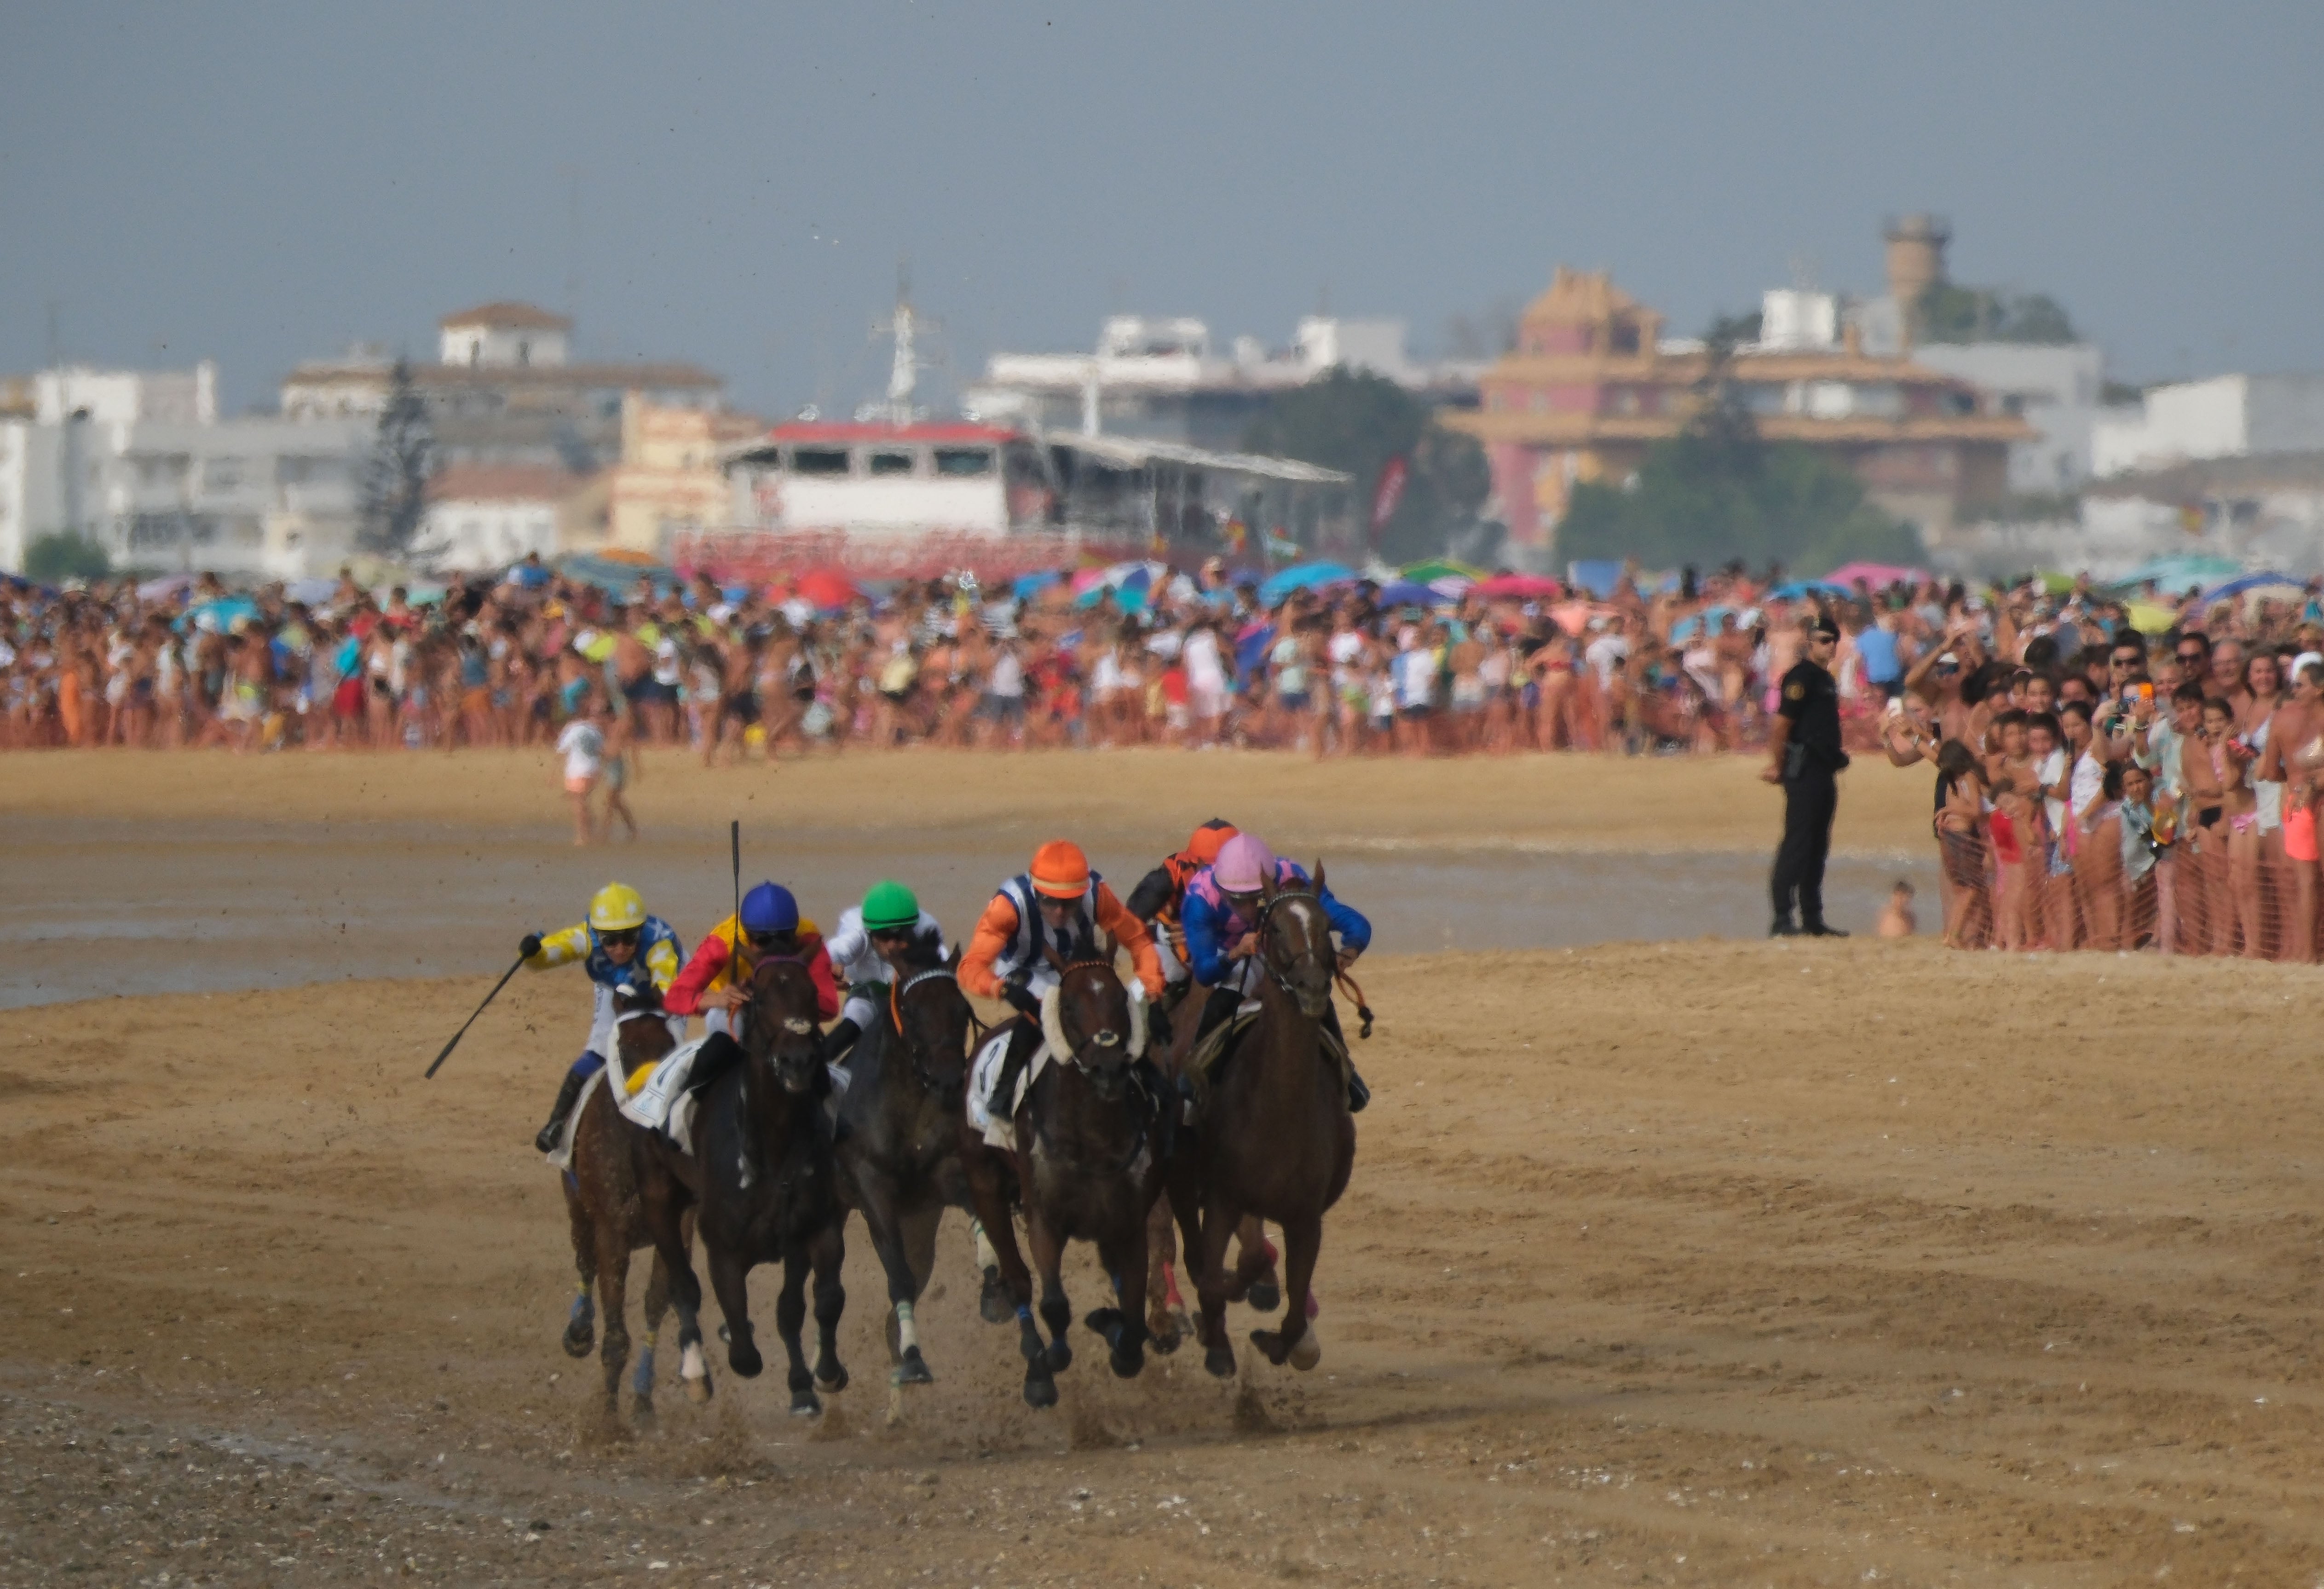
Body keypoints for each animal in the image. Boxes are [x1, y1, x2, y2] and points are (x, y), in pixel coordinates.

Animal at [562, 994, 697, 1431]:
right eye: (625, 1048)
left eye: (668, 1049)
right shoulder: (612, 1230)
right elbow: (616, 1332)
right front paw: (607, 1420)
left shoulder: (678, 1231)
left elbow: (657, 1303)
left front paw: (642, 1402)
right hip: (578, 1211)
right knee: (585, 1263)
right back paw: (578, 1332)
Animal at [636, 957, 855, 1412]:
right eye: (761, 997)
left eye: (813, 993)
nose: (796, 1062)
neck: (771, 1150)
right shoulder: (723, 1246)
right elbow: (743, 1349)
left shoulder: (815, 1227)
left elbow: (818, 1301)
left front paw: (817, 1379)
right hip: (658, 1198)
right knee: (683, 1285)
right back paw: (696, 1373)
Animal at [836, 938, 980, 1384]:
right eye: (913, 1011)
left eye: (961, 1008)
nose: (948, 1079)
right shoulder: (872, 1190)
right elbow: (898, 1276)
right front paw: (914, 1358)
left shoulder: (942, 1178)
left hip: (919, 1222)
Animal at [962, 938, 1171, 1412]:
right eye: (1071, 1005)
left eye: (1120, 998)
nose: (1108, 1069)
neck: (1092, 1138)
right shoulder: (1045, 1218)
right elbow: (1054, 1303)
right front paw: (1054, 1357)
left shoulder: (1127, 1222)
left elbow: (1132, 1311)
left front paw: (1119, 1337)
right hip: (985, 1184)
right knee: (1019, 1283)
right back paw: (1037, 1367)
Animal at [1171, 864, 1357, 1375]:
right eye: (1274, 928)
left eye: (1325, 926)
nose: (1312, 987)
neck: (1278, 1113)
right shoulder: (1222, 1198)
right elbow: (1217, 1273)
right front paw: (1216, 1338)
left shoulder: (1305, 1217)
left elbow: (1289, 1307)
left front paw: (1275, 1339)